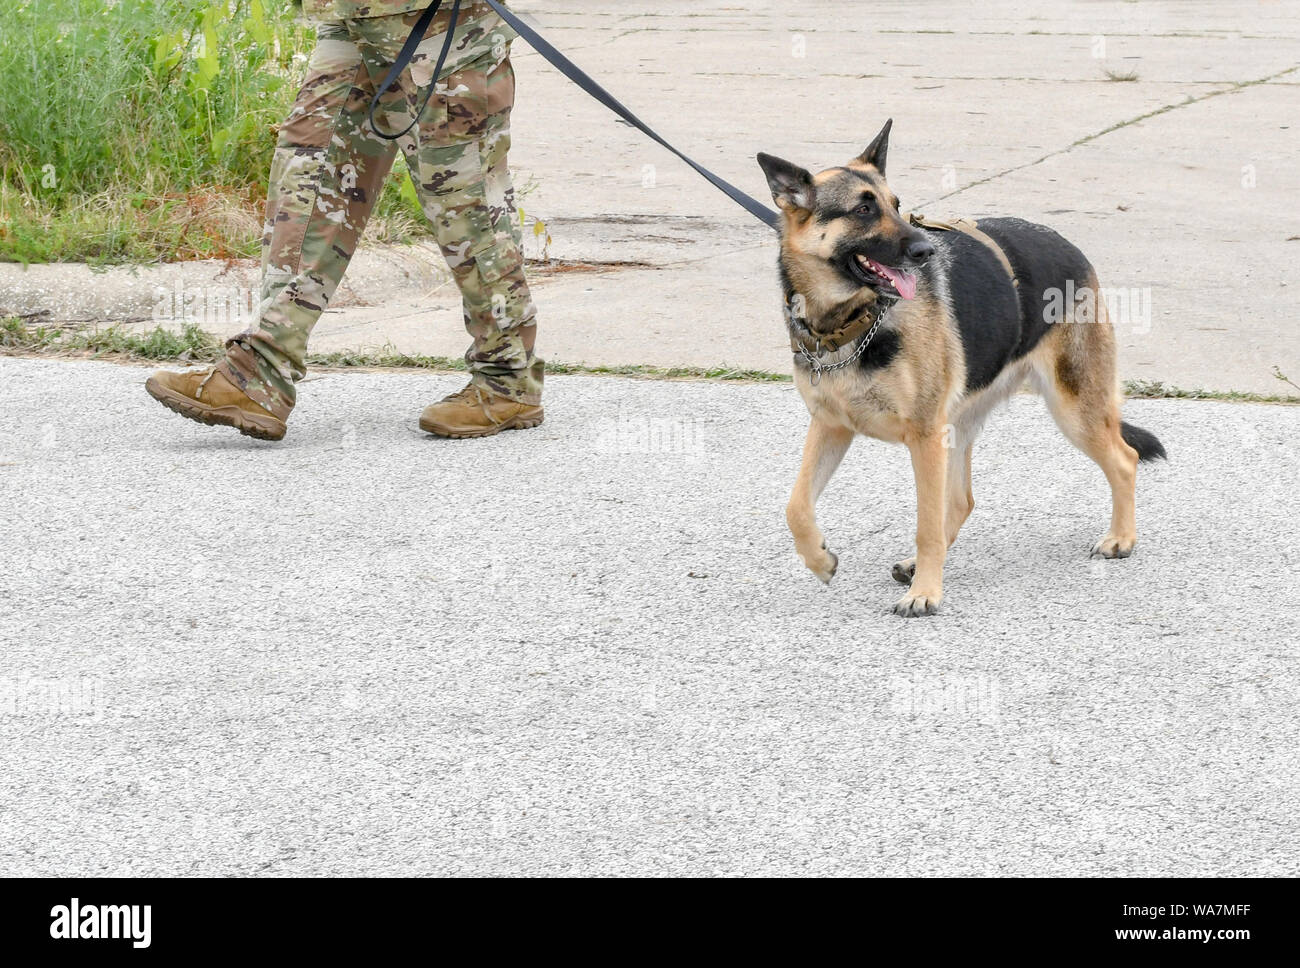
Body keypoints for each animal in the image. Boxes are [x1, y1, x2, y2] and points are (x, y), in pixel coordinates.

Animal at [759, 120, 1164, 615]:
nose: (926, 250)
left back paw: (1120, 539)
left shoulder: (923, 435)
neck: (851, 321)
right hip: (959, 426)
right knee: (961, 501)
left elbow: (926, 523)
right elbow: (795, 505)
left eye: (896, 205)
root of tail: (1069, 246)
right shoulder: (832, 426)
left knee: (1124, 459)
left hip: (1071, 409)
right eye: (862, 210)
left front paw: (925, 594)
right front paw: (818, 559)